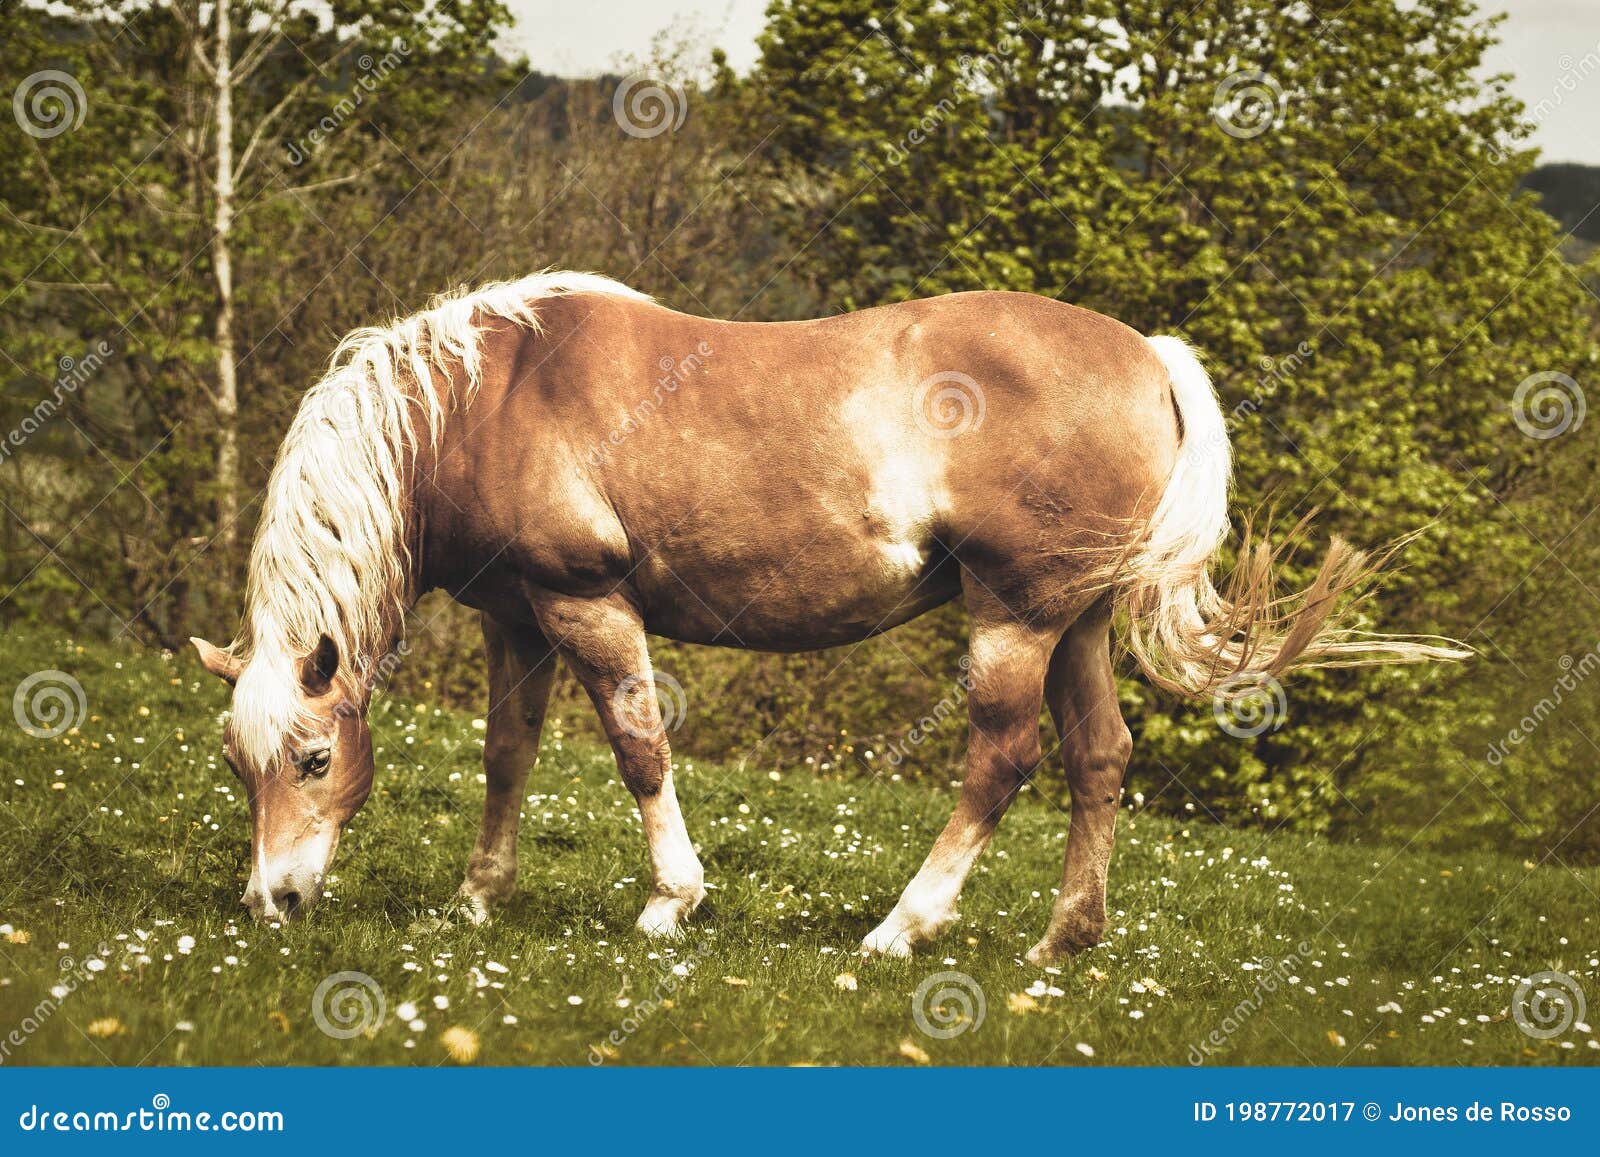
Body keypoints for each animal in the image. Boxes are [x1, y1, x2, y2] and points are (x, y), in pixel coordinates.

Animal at [190, 271, 1462, 964]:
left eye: (312, 756)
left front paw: (670, 901)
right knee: (1100, 756)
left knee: (1000, 763)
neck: (485, 394)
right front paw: (474, 901)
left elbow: (639, 748)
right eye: (240, 764)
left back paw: (904, 926)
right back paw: (1062, 938)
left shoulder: (586, 602)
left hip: (1014, 619)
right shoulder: (520, 623)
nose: (273, 902)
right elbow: (507, 757)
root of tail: (1145, 354)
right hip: (1078, 623)